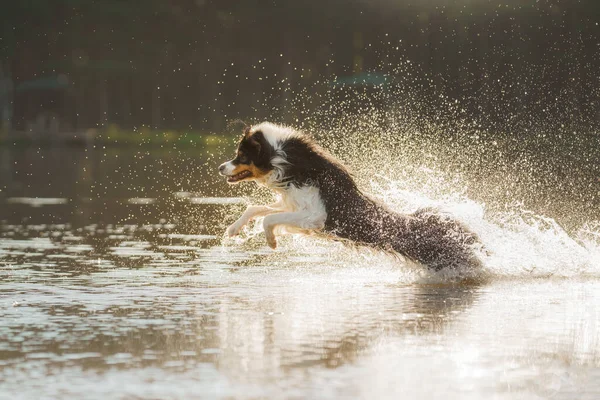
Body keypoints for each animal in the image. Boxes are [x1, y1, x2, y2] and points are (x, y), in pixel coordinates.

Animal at [219, 122, 482, 270]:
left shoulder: (315, 216)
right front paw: (232, 230)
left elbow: (268, 219)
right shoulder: (293, 205)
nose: (221, 167)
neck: (287, 162)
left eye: (241, 156)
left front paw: (271, 241)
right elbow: (255, 209)